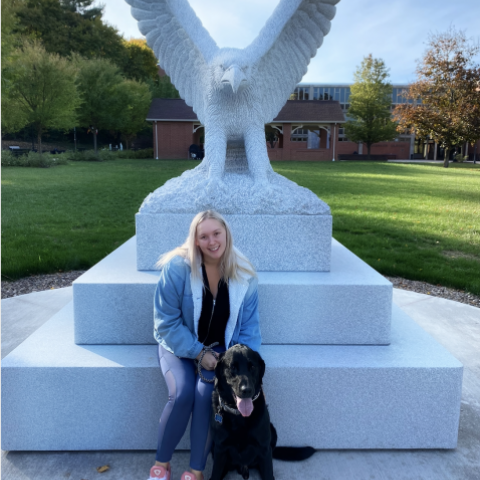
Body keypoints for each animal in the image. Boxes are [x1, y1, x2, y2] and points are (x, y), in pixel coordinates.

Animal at [210, 344, 316, 480]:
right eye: (232, 367)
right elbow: (215, 474)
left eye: (252, 367)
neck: (239, 416)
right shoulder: (220, 448)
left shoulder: (264, 449)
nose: (247, 390)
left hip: (273, 432)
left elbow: (268, 474)